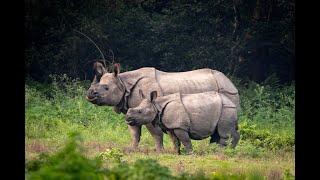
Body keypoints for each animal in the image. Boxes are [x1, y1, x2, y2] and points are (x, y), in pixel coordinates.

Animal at [86, 62, 239, 152]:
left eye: (106, 88)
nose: (89, 94)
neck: (123, 83)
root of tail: (230, 82)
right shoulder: (132, 109)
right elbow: (134, 132)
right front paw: (132, 150)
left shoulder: (149, 111)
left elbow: (156, 133)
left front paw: (159, 152)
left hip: (227, 93)